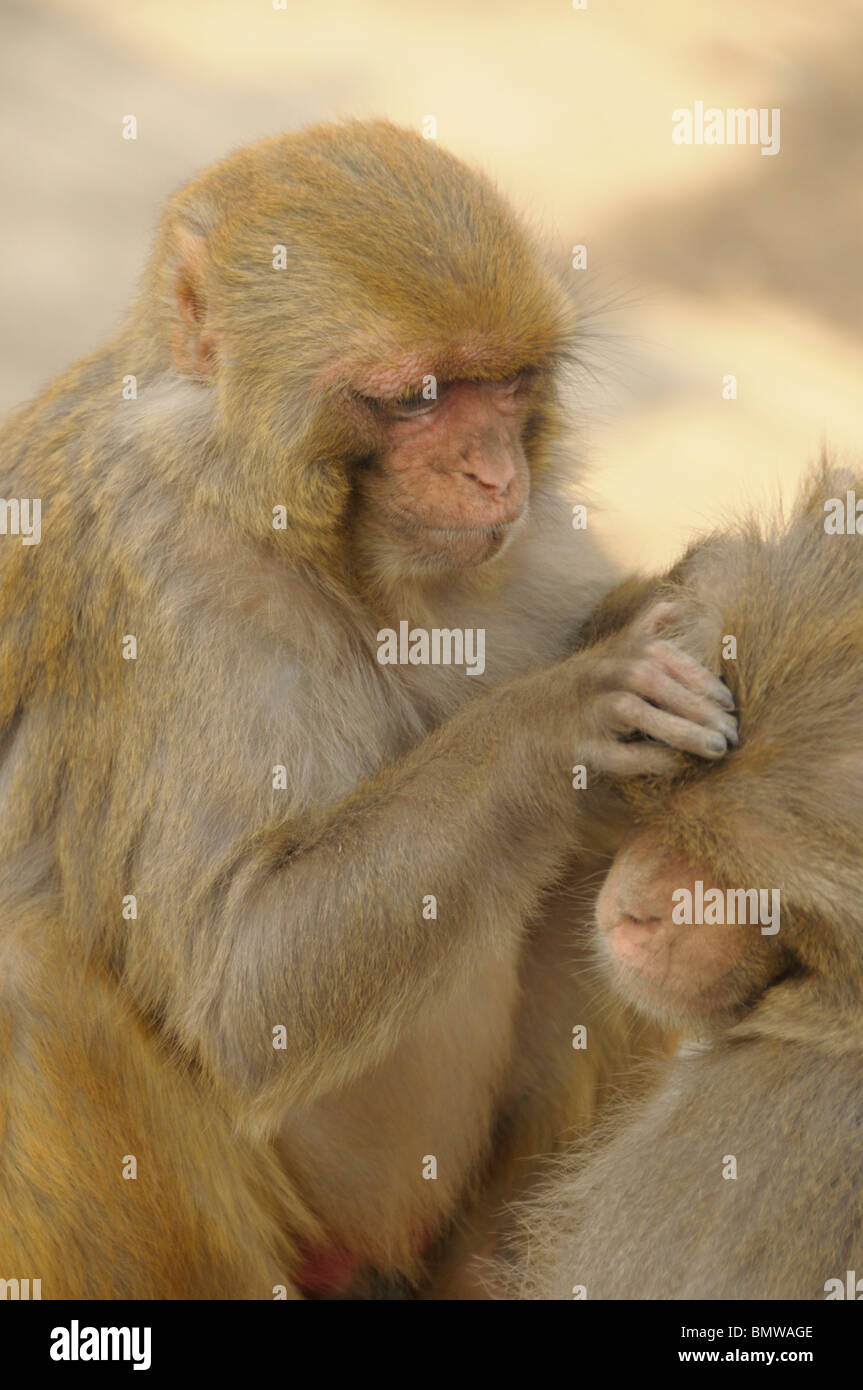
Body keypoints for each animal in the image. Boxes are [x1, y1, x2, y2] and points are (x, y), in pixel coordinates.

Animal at [1, 122, 739, 1301]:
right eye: (417, 398)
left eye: (507, 384)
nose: (492, 475)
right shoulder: (159, 575)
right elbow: (242, 992)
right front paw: (573, 712)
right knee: (28, 977)